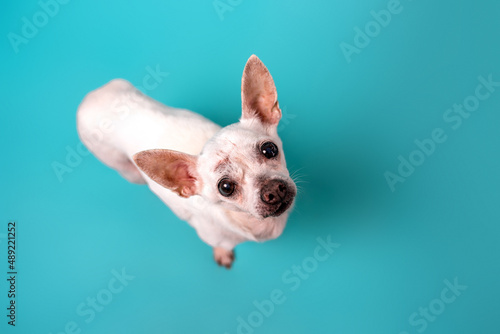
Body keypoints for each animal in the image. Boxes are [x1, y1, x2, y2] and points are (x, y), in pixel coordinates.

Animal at [77, 55, 296, 268]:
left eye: (270, 150)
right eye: (225, 187)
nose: (272, 189)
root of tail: (92, 97)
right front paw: (222, 253)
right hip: (126, 170)